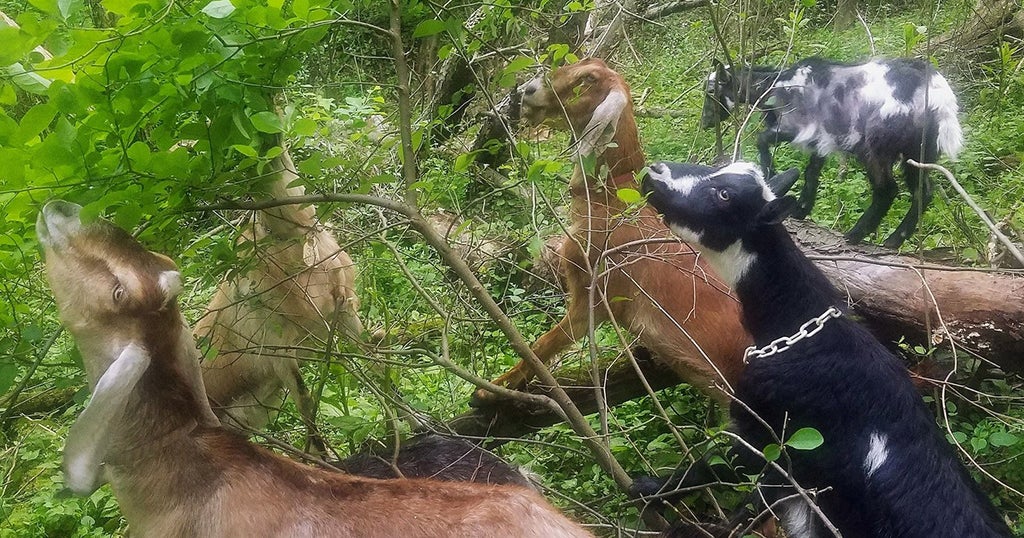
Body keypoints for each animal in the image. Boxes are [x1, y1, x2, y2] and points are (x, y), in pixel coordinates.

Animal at [472, 58, 750, 406]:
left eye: (588, 79)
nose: (528, 90)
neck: (610, 201)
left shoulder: (595, 291)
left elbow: (544, 344)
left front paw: (491, 389)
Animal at [642, 161, 1010, 537]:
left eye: (725, 195)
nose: (656, 171)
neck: (801, 333)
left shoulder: (766, 434)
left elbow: (712, 465)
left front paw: (649, 489)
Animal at [702, 57, 964, 248]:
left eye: (712, 90)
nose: (705, 122)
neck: (776, 85)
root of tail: (939, 95)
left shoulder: (796, 127)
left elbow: (762, 140)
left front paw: (770, 175)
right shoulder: (820, 139)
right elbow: (811, 171)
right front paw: (801, 209)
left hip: (875, 146)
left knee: (887, 190)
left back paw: (855, 235)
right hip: (918, 152)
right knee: (922, 192)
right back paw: (891, 241)